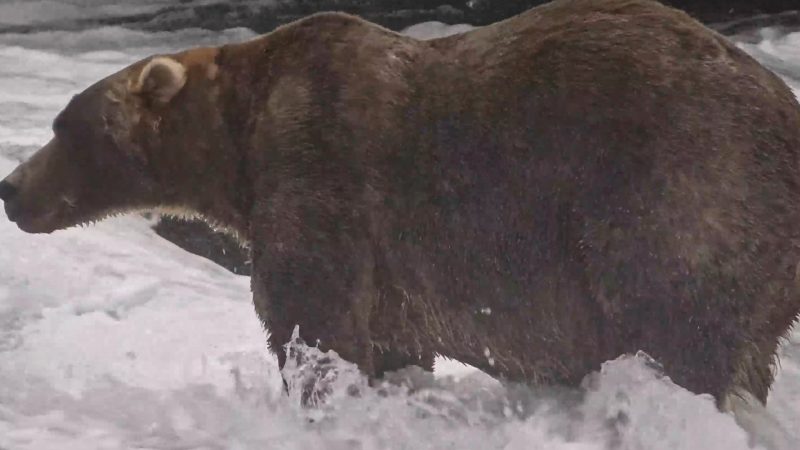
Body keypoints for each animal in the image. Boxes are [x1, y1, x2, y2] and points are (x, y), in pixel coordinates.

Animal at [1, 0, 800, 414]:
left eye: (63, 126)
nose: (11, 187)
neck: (237, 140)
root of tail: (784, 105)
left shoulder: (321, 170)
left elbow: (313, 318)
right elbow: (389, 342)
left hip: (679, 188)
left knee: (680, 324)